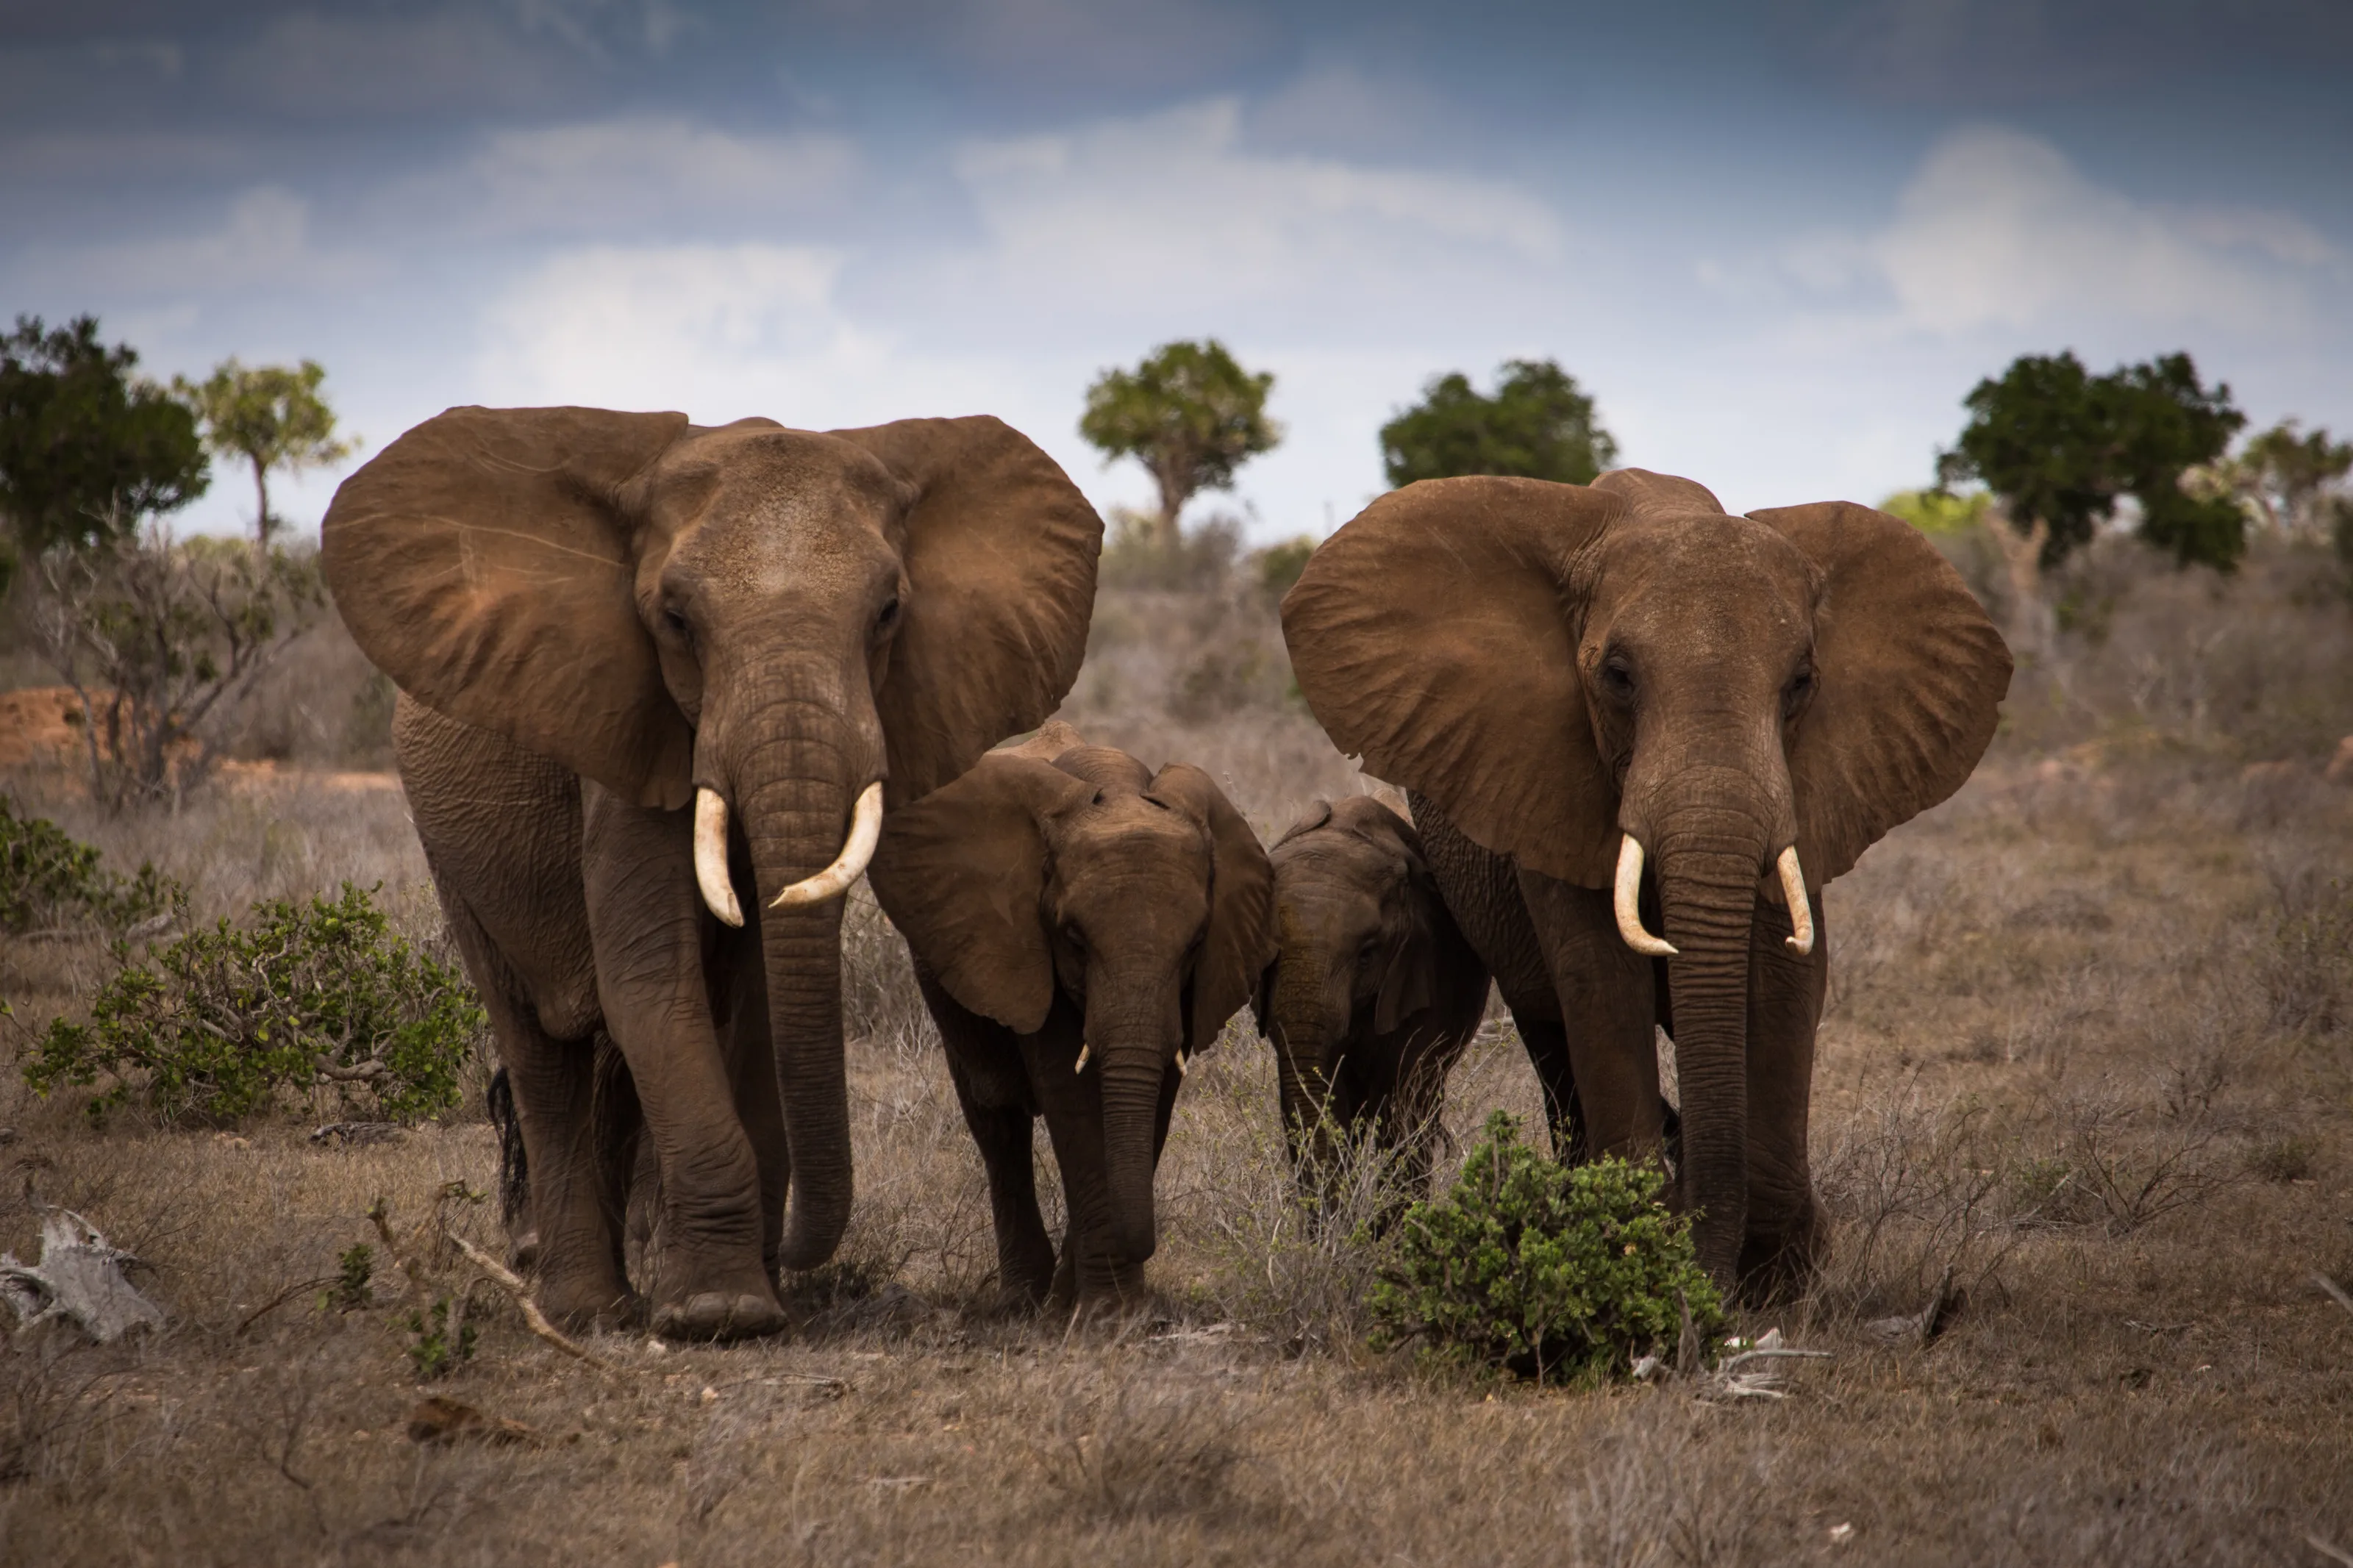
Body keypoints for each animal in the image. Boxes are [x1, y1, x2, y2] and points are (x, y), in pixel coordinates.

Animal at [321, 406, 1101, 1338]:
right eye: (675, 619)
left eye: (887, 612)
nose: (795, 1247)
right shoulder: (625, 728)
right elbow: (650, 979)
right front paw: (719, 1314)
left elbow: (757, 994)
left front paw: (745, 1297)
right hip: (448, 848)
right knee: (540, 1046)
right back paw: (585, 1310)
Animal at [865, 722, 1276, 1308]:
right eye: (1074, 938)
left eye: (1197, 942)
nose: (1147, 1244)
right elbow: (1071, 1097)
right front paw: (1106, 1311)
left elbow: (1154, 1096)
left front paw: (1093, 1303)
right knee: (995, 1117)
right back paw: (1022, 1298)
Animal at [1280, 469, 2010, 1295]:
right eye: (1617, 678)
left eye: (1801, 683)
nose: (1715, 1281)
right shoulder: (1547, 783)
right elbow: (1599, 975)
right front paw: (1639, 1240)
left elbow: (1788, 979)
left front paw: (1778, 1274)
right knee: (1551, 1035)